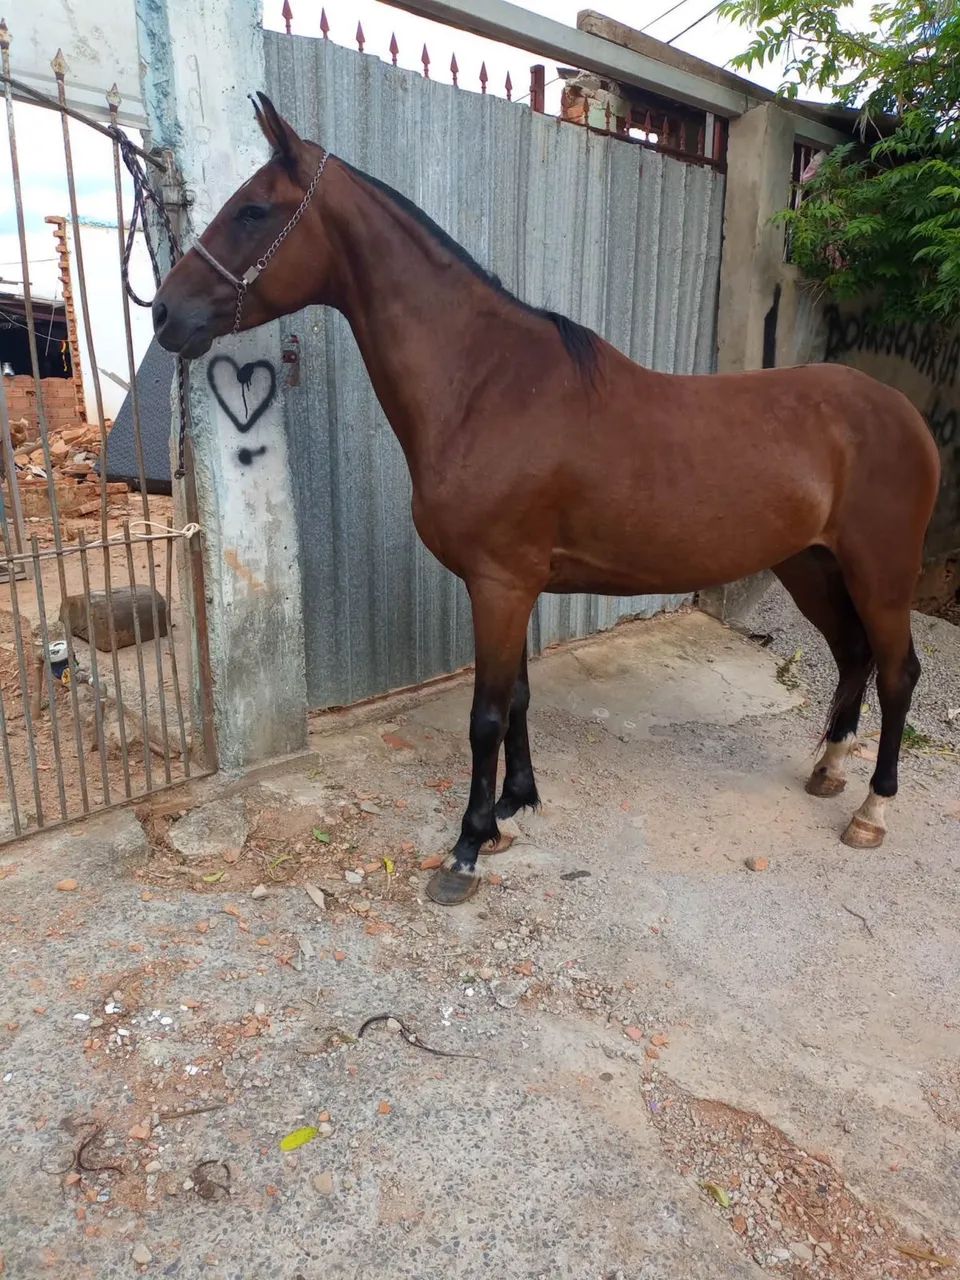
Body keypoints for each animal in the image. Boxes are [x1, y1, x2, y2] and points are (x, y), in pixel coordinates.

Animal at [153, 93, 940, 906]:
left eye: (253, 210)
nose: (162, 313)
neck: (487, 385)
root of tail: (903, 414)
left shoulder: (500, 584)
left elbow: (485, 716)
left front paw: (468, 846)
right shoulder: (517, 584)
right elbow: (519, 703)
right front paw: (513, 807)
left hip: (881, 572)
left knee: (898, 673)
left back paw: (872, 809)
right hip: (810, 564)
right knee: (852, 655)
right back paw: (829, 769)